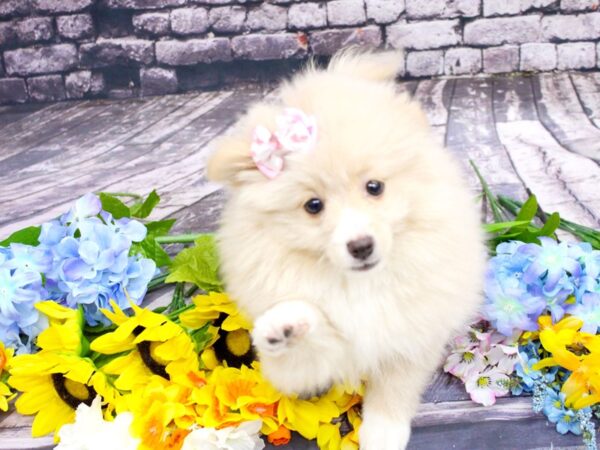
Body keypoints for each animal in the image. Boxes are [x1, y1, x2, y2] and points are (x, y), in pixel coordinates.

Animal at [209, 50, 486, 450]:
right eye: (313, 206)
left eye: (374, 187)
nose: (361, 246)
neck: (360, 286)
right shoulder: (305, 370)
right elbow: (302, 344)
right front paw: (283, 325)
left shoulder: (411, 330)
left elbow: (395, 385)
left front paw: (382, 433)